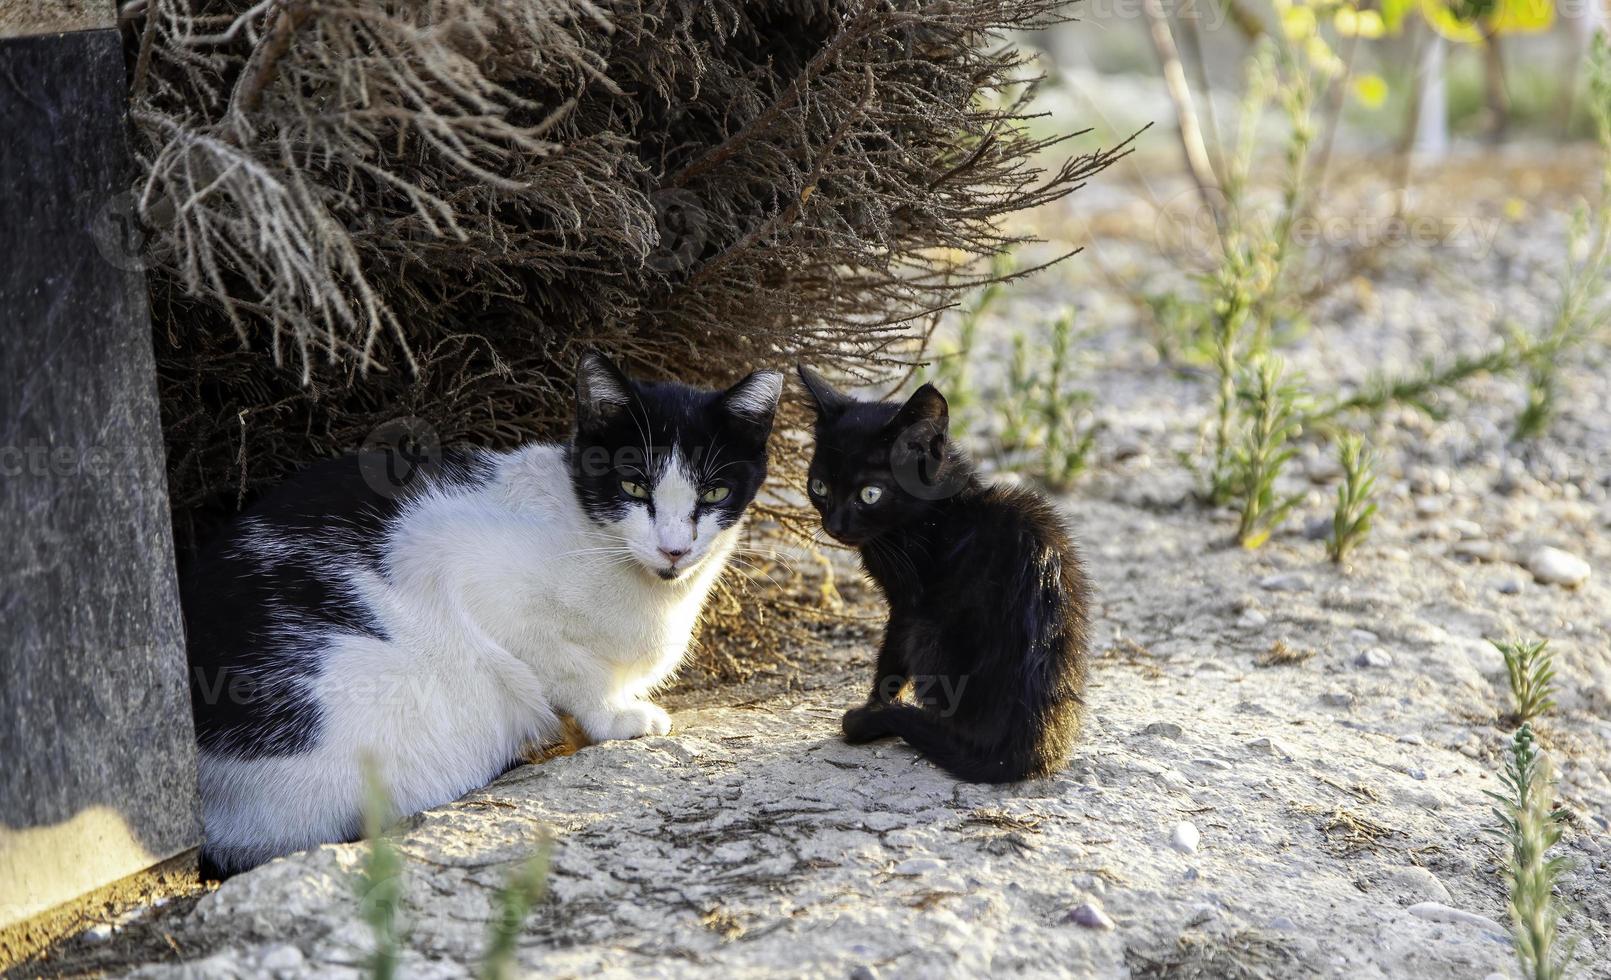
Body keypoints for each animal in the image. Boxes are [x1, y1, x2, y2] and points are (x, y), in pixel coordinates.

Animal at [181, 351, 779, 870]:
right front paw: (614, 715)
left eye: (715, 492)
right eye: (634, 485)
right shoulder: (460, 572)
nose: (674, 549)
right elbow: (565, 666)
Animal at [795, 364, 1089, 783]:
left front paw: (873, 708)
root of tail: (1015, 754)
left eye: (870, 494)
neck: (935, 513)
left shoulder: (907, 606)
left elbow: (889, 663)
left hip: (928, 630)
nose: (834, 525)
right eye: (819, 486)